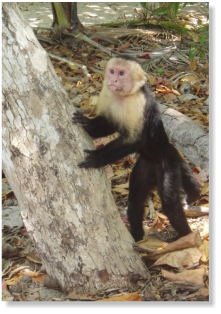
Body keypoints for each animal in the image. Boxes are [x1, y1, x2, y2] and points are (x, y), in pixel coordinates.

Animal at [72, 54, 200, 242]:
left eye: (121, 73)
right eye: (112, 71)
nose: (113, 79)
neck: (123, 96)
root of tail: (166, 148)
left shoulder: (137, 103)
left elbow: (135, 140)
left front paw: (97, 158)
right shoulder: (106, 93)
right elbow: (109, 123)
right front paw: (87, 124)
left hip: (168, 163)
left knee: (170, 204)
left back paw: (185, 237)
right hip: (146, 165)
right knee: (135, 200)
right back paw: (138, 236)